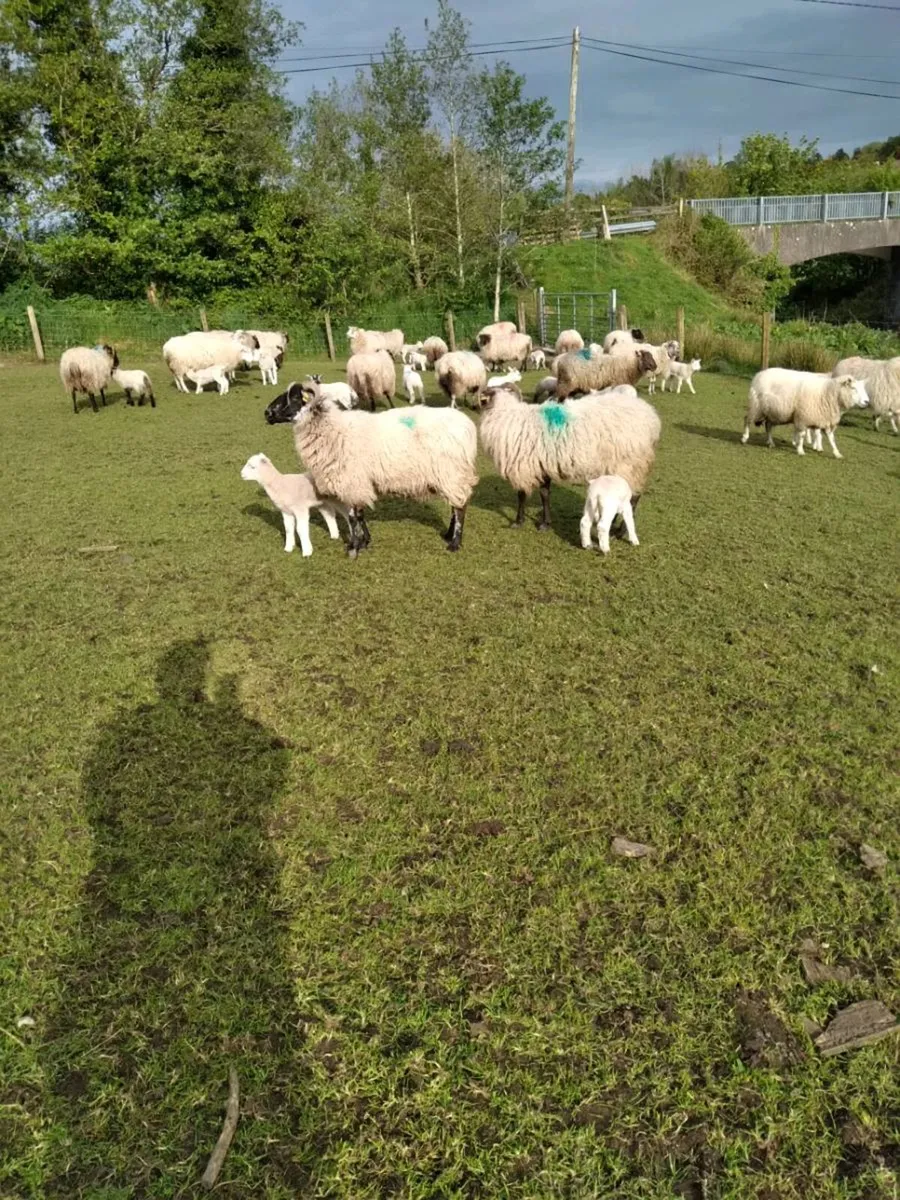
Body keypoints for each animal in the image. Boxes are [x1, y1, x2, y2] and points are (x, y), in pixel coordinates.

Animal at [282, 397, 478, 556]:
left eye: (295, 400)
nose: (273, 414)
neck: (335, 430)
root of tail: (468, 426)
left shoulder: (353, 482)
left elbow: (353, 517)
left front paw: (354, 546)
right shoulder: (360, 484)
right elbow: (360, 515)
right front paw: (365, 541)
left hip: (451, 473)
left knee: (460, 508)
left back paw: (454, 543)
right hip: (452, 477)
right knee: (456, 505)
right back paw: (448, 535)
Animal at [478, 384, 661, 531]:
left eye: (488, 394)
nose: (478, 401)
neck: (504, 414)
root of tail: (652, 419)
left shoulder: (523, 466)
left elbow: (521, 495)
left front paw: (518, 522)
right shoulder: (543, 464)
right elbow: (545, 494)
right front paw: (546, 523)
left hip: (630, 463)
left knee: (633, 497)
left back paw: (619, 531)